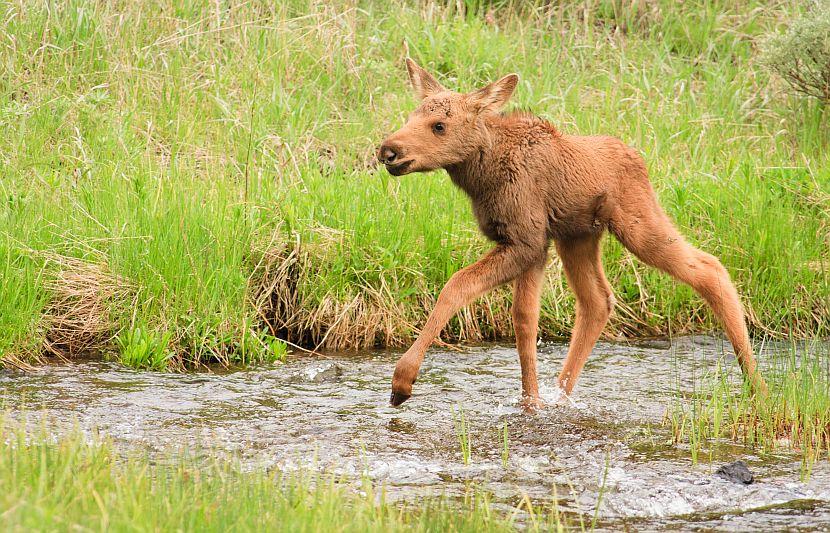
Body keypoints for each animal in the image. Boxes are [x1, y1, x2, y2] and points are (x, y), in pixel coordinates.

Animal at [376, 58, 768, 410]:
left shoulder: (525, 240)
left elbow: (456, 286)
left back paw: (756, 384)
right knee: (598, 300)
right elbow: (524, 319)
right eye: (410, 117)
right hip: (578, 236)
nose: (388, 150)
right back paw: (563, 393)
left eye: (439, 125)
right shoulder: (533, 244)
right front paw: (531, 402)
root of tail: (638, 157)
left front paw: (402, 382)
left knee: (709, 267)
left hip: (637, 223)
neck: (480, 176)